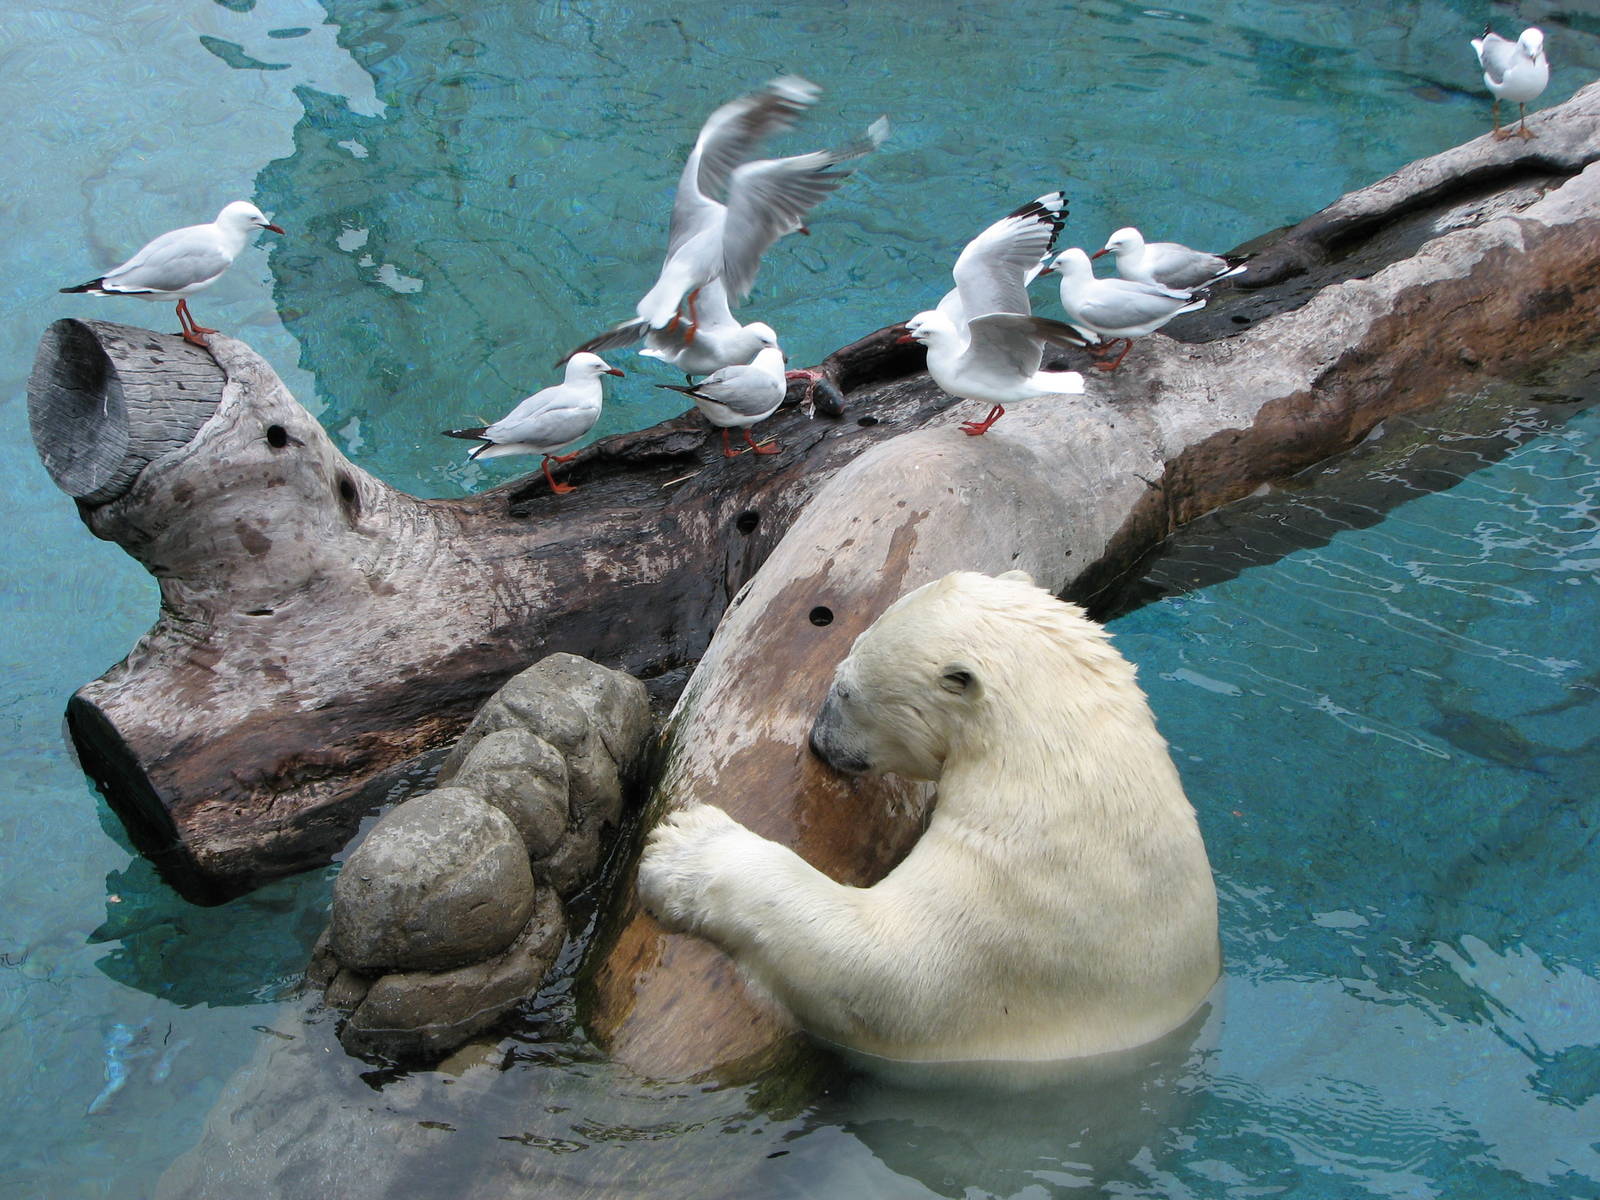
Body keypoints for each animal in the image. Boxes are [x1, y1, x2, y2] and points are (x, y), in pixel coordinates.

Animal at [636, 569, 1220, 1064]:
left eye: (843, 688)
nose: (818, 741)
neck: (1070, 776)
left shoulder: (1019, 907)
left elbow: (884, 970)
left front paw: (685, 848)